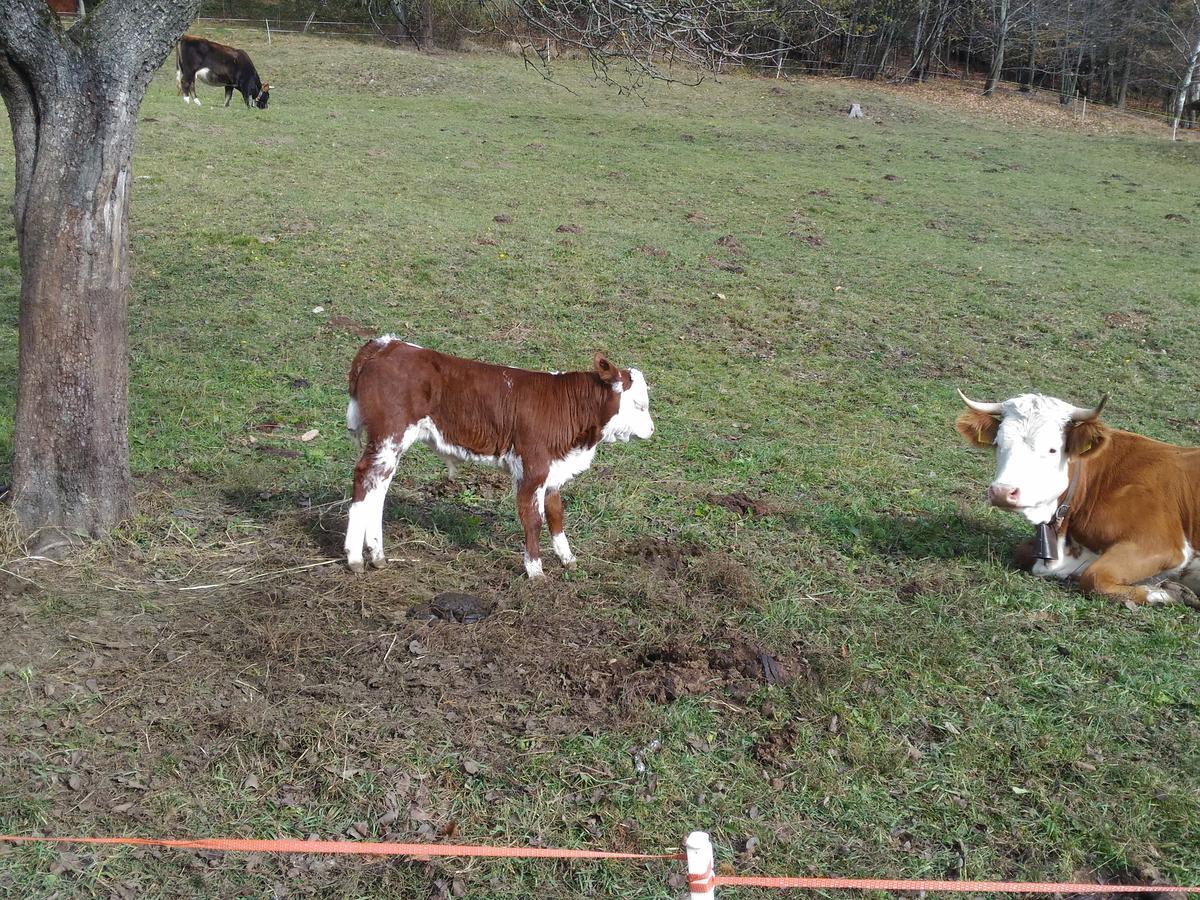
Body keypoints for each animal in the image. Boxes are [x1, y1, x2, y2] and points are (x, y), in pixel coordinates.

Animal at [338, 338, 657, 578]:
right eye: (639, 405)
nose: (652, 430)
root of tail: (386, 344)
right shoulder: (532, 468)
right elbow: (533, 519)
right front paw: (535, 571)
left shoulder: (553, 470)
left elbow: (556, 514)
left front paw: (567, 558)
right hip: (388, 435)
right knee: (364, 478)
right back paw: (355, 557)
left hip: (391, 444)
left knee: (378, 489)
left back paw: (377, 555)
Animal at [955, 391, 1200, 609]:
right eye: (998, 443)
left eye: (1052, 449)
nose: (1002, 491)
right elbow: (1023, 552)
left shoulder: (1163, 545)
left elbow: (1094, 577)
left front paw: (1167, 593)